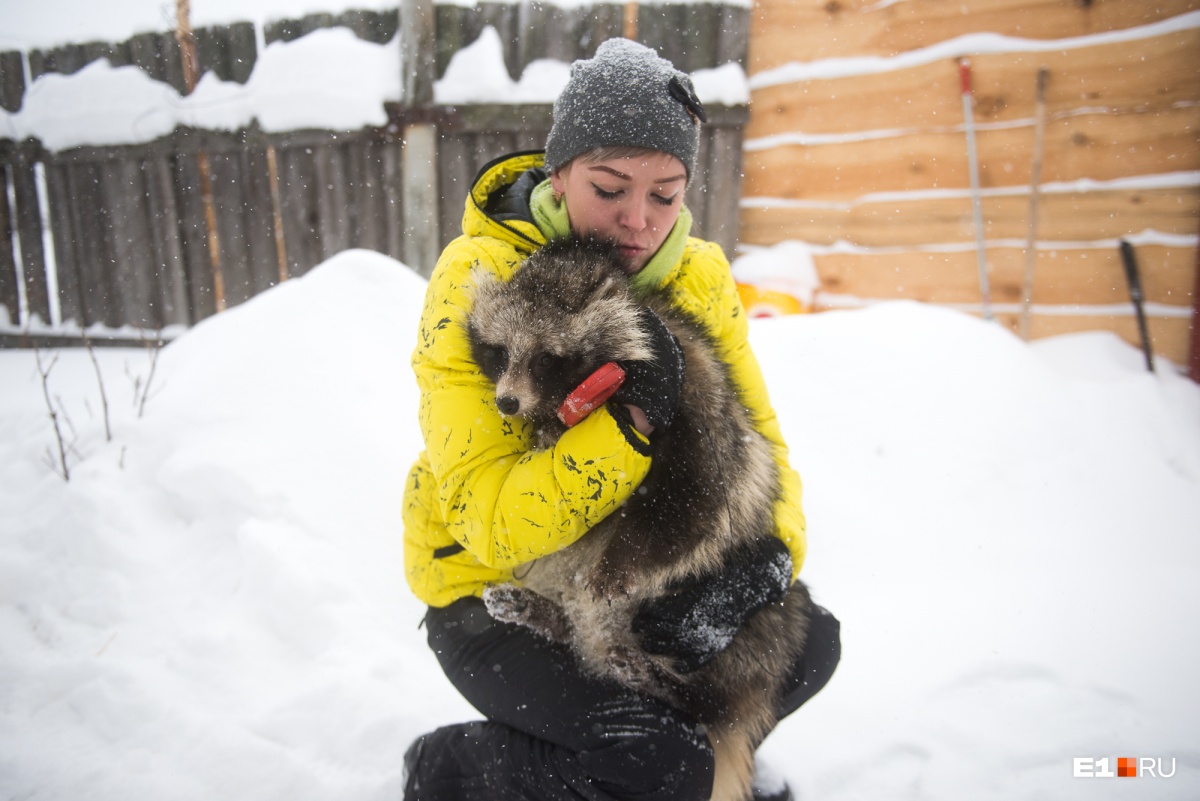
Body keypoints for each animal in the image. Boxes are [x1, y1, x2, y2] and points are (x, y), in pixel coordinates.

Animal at [463, 236, 811, 801]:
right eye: (501, 352)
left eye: (546, 358)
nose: (507, 403)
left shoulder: (691, 394)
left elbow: (691, 503)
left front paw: (618, 567)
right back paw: (557, 618)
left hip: (750, 624)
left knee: (743, 652)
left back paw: (659, 678)